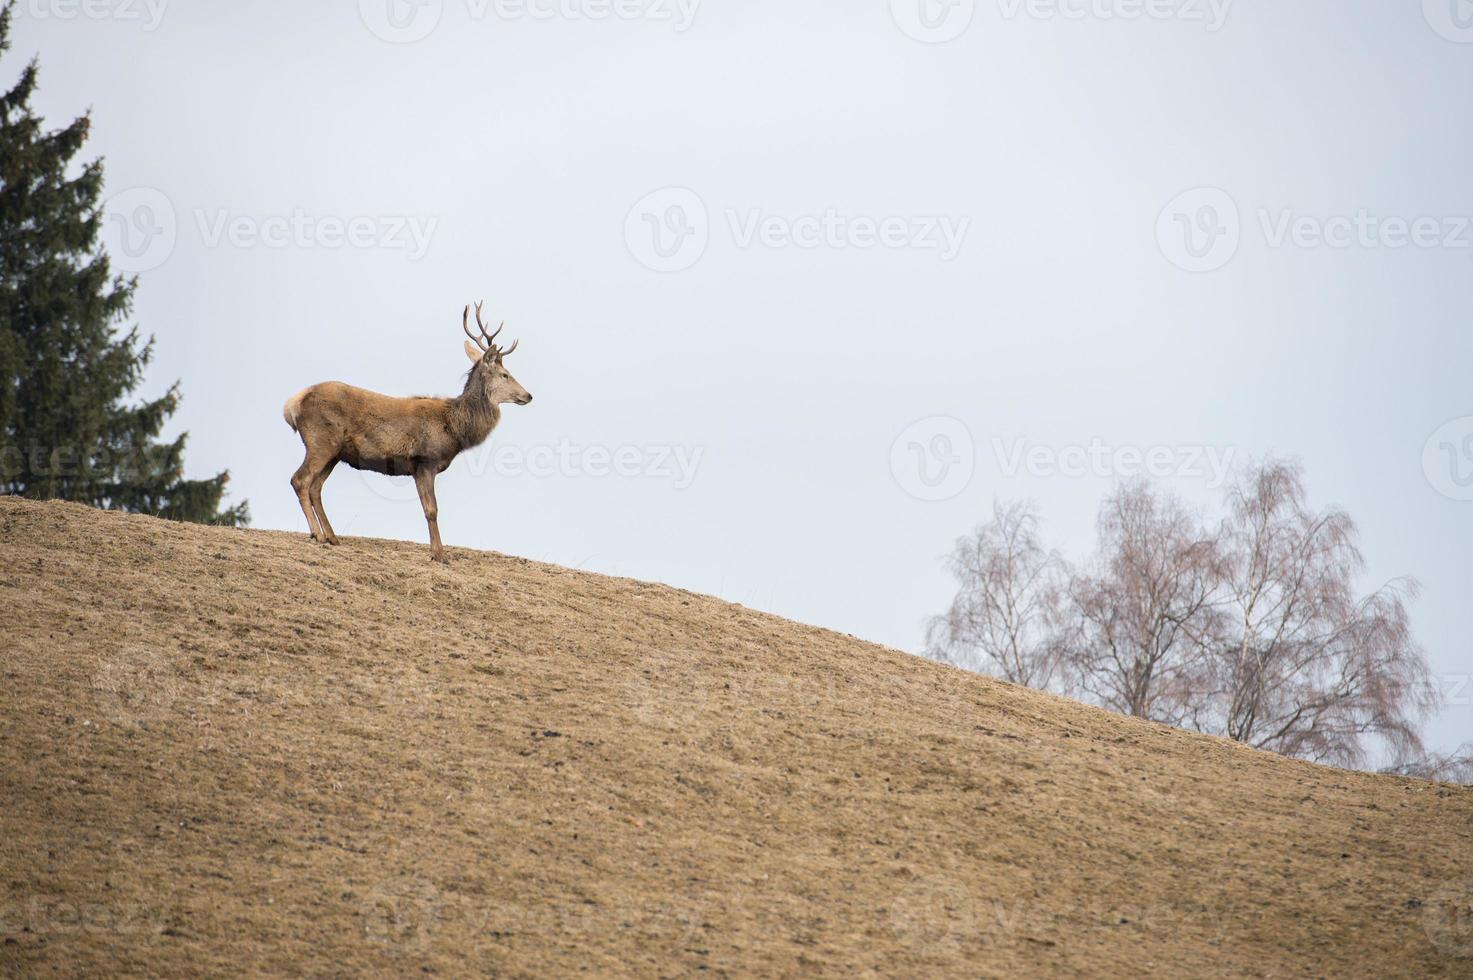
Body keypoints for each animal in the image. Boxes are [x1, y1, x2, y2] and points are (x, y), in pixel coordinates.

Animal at [279, 303, 530, 565]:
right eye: (505, 374)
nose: (528, 395)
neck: (454, 429)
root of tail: (292, 404)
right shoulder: (424, 461)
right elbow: (431, 510)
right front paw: (439, 555)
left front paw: (437, 552)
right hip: (320, 441)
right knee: (300, 480)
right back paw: (317, 534)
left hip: (335, 453)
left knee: (316, 487)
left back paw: (332, 536)